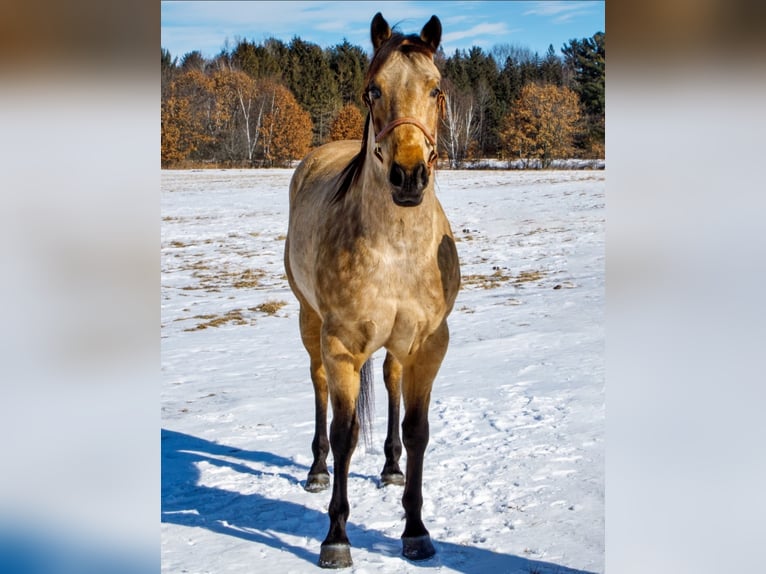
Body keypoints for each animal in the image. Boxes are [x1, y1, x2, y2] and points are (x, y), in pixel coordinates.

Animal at [284, 13, 460, 572]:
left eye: (436, 88)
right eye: (372, 90)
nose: (408, 176)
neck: (396, 250)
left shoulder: (429, 345)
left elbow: (416, 430)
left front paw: (416, 529)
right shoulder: (341, 344)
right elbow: (345, 434)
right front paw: (336, 537)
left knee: (389, 379)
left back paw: (390, 467)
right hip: (310, 324)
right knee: (319, 388)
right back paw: (317, 470)